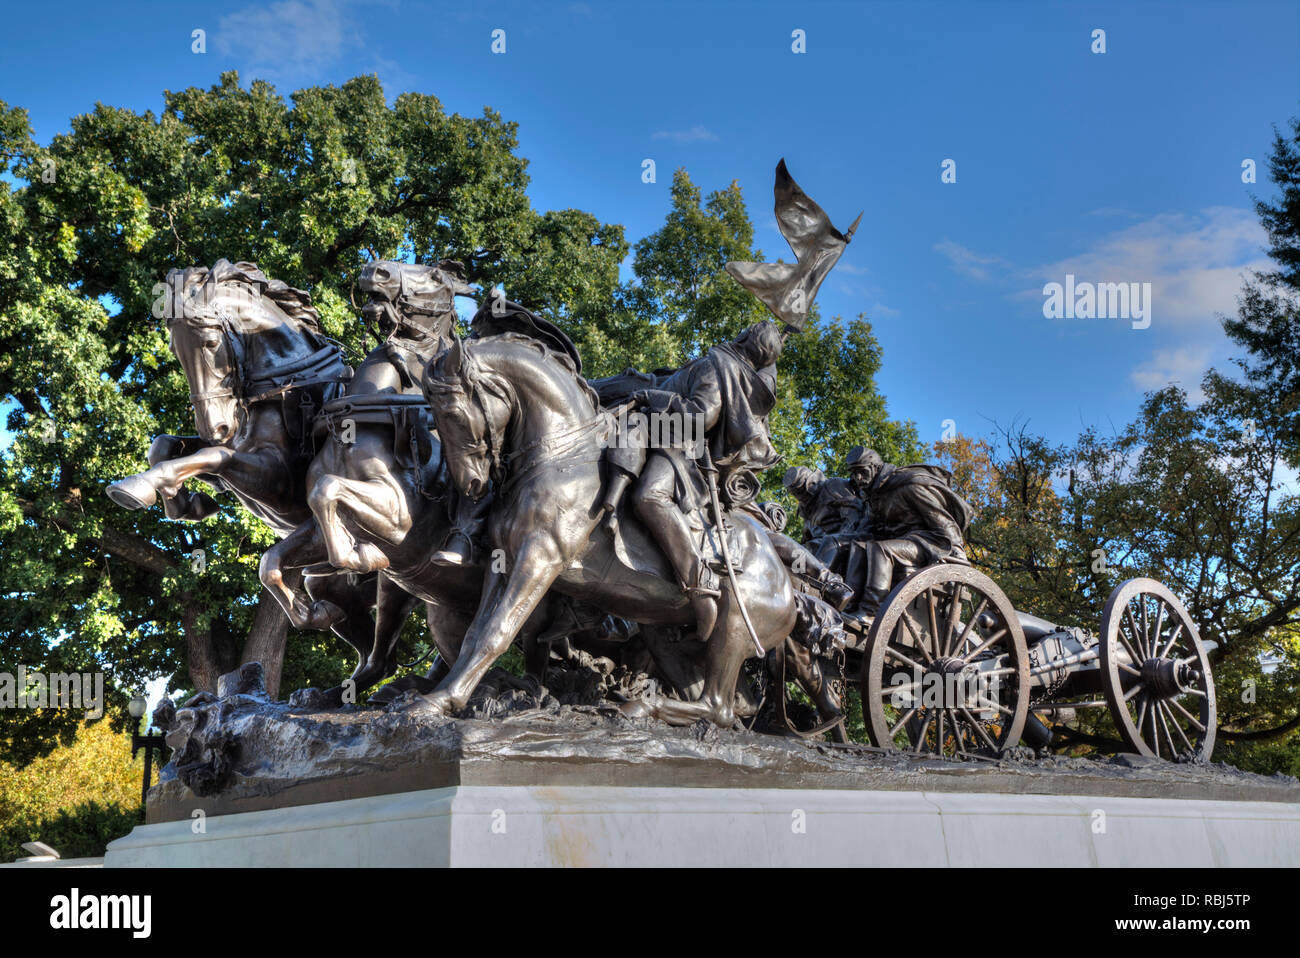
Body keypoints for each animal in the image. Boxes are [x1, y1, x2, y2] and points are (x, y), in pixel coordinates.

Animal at [421, 330, 795, 722]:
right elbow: (475, 633)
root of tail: (785, 577)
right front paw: (443, 697)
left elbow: (498, 631)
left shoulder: (540, 558)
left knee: (719, 707)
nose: (472, 485)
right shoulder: (502, 561)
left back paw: (643, 703)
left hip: (733, 627)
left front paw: (440, 700)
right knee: (723, 703)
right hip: (667, 632)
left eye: (452, 413)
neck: (561, 457)